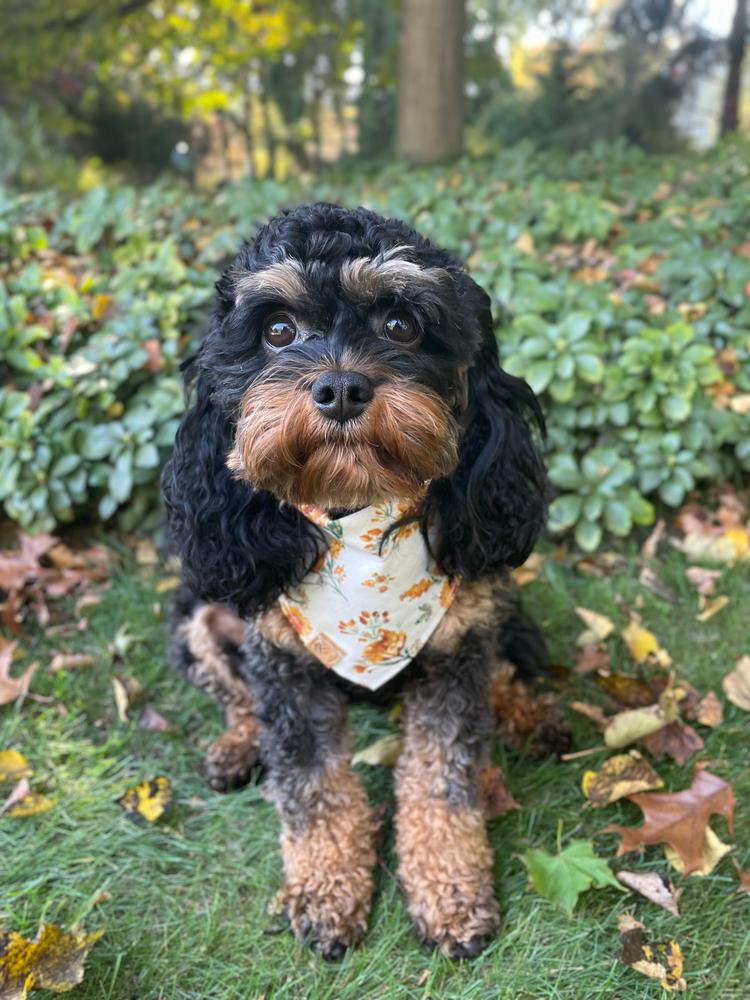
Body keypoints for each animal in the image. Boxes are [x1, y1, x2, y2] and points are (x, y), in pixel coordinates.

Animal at [163, 203, 568, 960]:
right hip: (199, 617)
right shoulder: (282, 662)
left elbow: (440, 780)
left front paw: (451, 891)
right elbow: (313, 787)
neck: (357, 514)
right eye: (277, 330)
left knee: (506, 662)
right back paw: (237, 746)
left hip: (496, 599)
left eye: (401, 325)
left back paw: (531, 715)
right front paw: (326, 893)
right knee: (233, 690)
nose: (341, 388)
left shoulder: (456, 651)